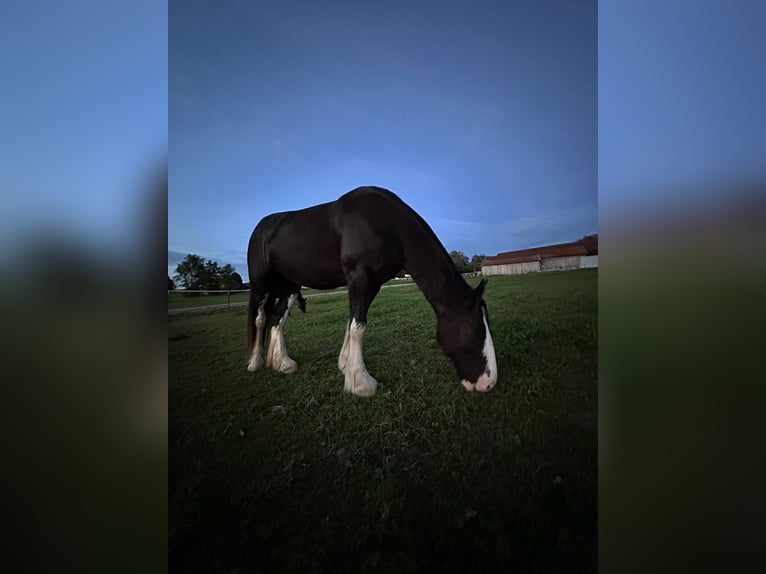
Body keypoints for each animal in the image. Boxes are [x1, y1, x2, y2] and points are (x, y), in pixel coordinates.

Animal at [246, 187, 498, 398]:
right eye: (473, 327)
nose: (489, 382)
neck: (386, 224)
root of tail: (261, 228)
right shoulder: (359, 276)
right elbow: (358, 327)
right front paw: (360, 383)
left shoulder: (373, 283)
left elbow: (353, 322)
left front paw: (345, 365)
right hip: (261, 285)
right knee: (260, 318)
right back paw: (255, 362)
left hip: (290, 285)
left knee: (277, 318)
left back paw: (282, 363)